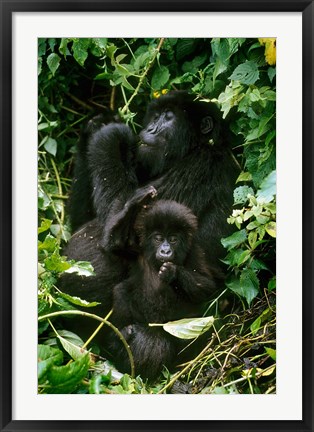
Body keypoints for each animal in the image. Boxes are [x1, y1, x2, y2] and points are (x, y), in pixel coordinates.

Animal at [109, 199, 222, 382]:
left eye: (173, 239)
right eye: (158, 238)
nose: (165, 250)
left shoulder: (194, 251)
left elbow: (206, 285)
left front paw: (172, 272)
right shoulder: (136, 248)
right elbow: (114, 244)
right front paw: (136, 203)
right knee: (122, 290)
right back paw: (122, 334)